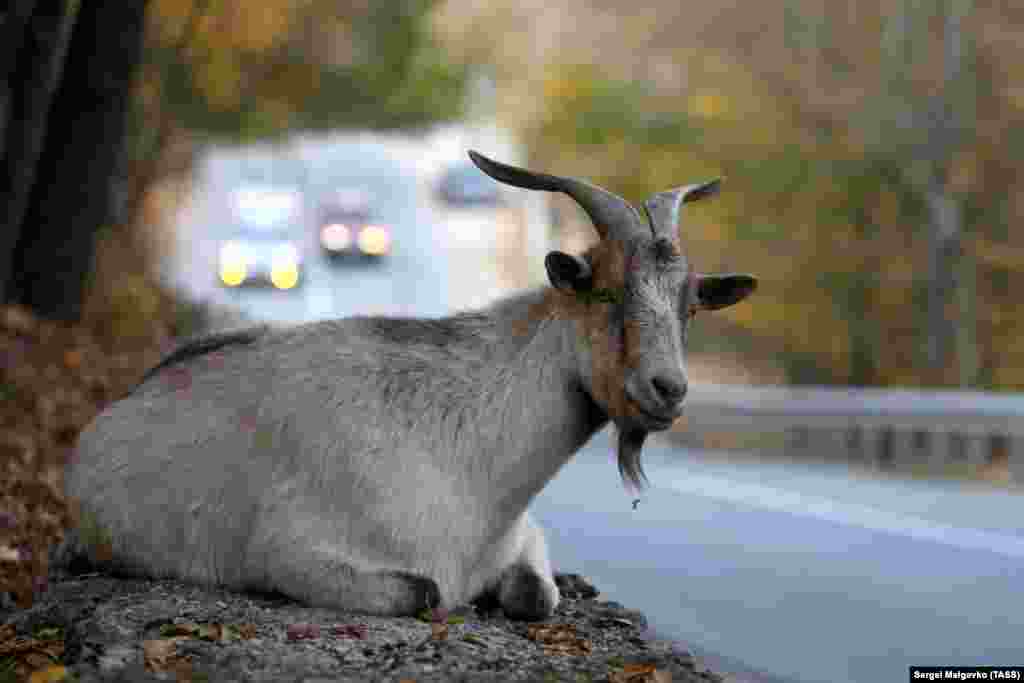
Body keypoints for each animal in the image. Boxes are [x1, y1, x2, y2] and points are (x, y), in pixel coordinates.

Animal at [58, 152, 761, 622]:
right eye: (607, 292)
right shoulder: (291, 551)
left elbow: (537, 596)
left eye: (690, 307)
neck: (472, 465)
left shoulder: (523, 537)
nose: (668, 389)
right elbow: (426, 591)